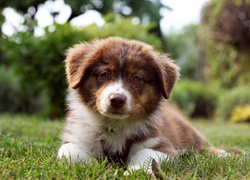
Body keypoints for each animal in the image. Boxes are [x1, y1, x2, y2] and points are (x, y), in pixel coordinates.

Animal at [58, 36, 227, 173]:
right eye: (104, 74)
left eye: (137, 78)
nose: (117, 100)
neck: (114, 126)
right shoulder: (79, 136)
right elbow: (67, 151)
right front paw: (92, 165)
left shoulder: (160, 143)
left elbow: (146, 154)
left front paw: (134, 172)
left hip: (187, 132)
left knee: (202, 146)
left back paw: (223, 154)